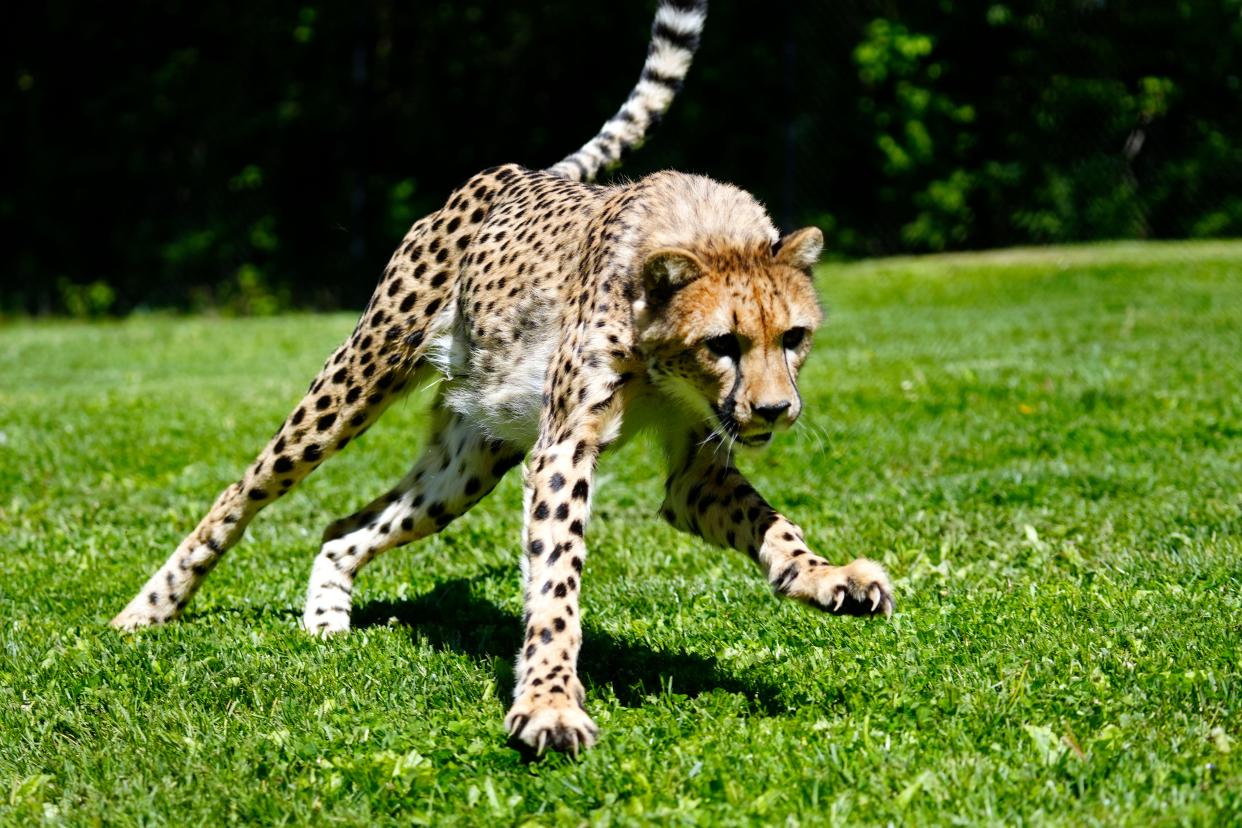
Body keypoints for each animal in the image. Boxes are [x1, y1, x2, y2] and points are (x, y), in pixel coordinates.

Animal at [114, 0, 894, 759]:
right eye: (722, 344)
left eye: (793, 338)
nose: (775, 410)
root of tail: (516, 173)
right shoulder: (563, 449)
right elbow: (556, 582)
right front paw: (549, 702)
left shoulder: (694, 472)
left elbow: (772, 523)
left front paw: (829, 576)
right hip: (358, 380)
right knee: (242, 491)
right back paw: (148, 609)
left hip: (471, 459)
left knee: (345, 526)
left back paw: (326, 616)